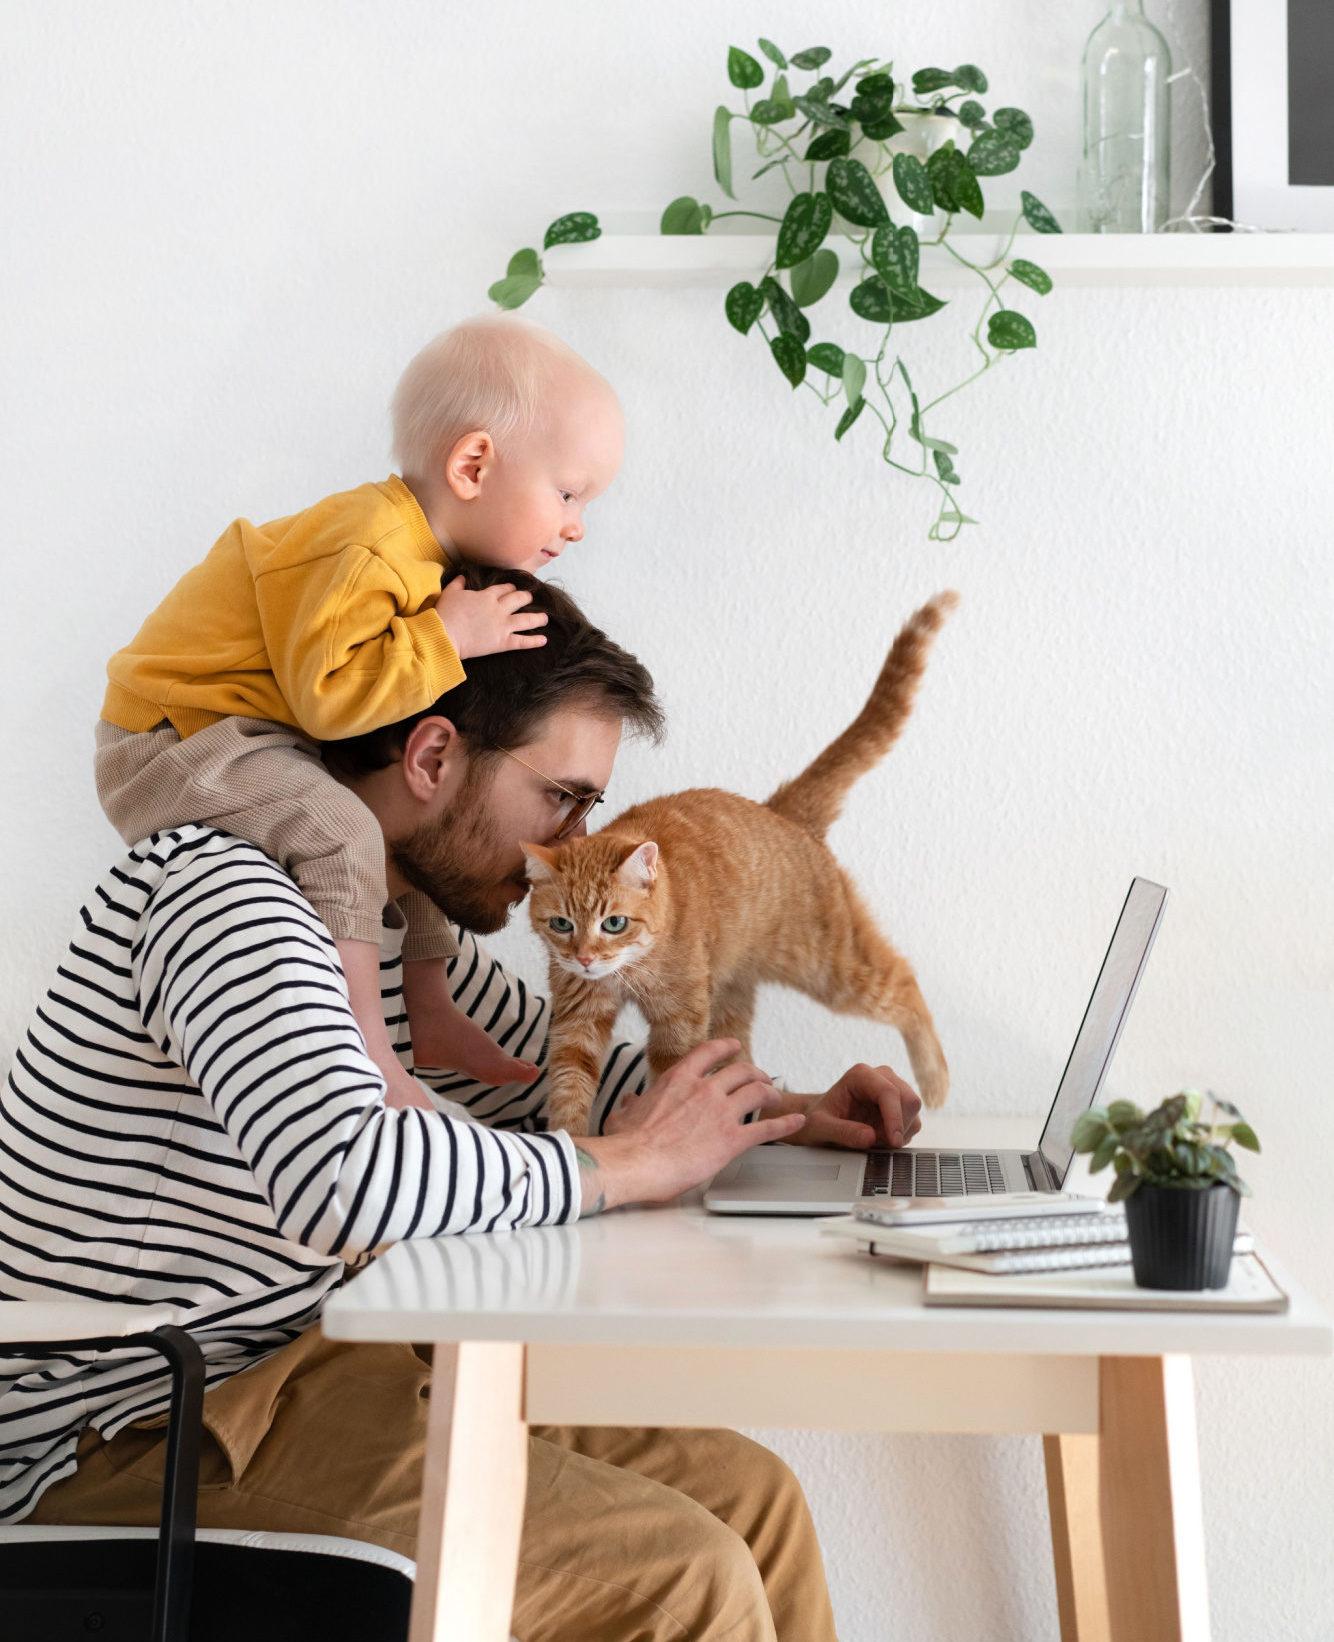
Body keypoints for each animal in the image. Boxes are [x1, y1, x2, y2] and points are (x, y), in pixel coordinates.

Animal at [522, 594, 959, 1142]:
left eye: (614, 923)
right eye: (562, 924)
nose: (583, 958)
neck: (629, 968)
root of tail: (779, 811)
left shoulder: (680, 1018)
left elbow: (672, 1075)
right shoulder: (578, 1016)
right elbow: (570, 1085)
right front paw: (576, 1142)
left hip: (830, 966)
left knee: (904, 981)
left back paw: (935, 1080)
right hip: (735, 993)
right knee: (745, 1064)